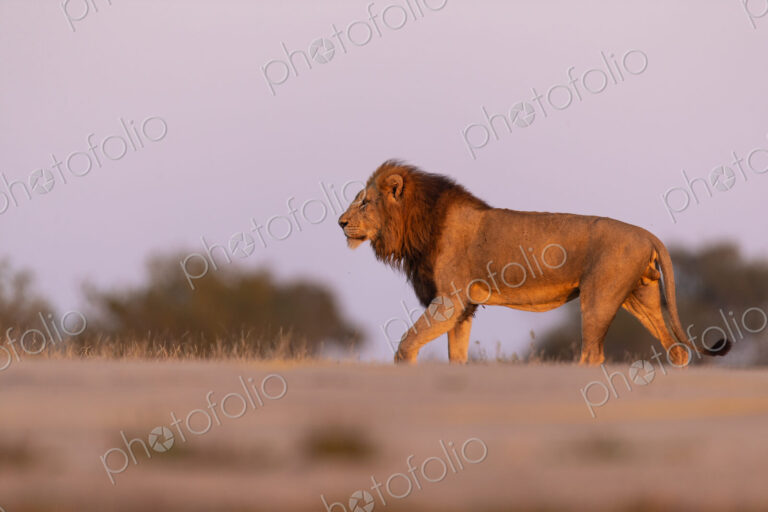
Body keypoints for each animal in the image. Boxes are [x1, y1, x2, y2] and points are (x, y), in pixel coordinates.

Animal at [338, 160, 731, 365]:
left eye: (365, 202)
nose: (340, 222)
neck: (417, 224)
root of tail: (649, 234)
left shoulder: (449, 299)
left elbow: (407, 342)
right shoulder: (463, 307)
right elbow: (456, 354)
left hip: (599, 296)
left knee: (593, 353)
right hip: (641, 297)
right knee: (676, 349)